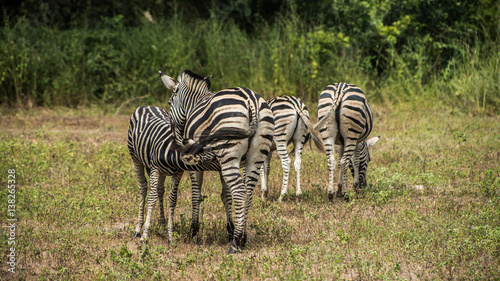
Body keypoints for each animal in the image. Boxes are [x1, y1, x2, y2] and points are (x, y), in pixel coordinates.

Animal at [126, 105, 235, 243]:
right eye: (214, 158)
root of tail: (146, 106)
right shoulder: (155, 169)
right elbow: (152, 198)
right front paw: (145, 236)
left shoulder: (178, 172)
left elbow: (172, 199)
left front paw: (170, 236)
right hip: (136, 159)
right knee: (143, 188)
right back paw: (137, 229)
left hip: (158, 171)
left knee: (160, 190)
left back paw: (162, 227)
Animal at [159, 69, 274, 252]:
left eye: (170, 102)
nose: (178, 138)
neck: (194, 103)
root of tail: (252, 101)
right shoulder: (221, 166)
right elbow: (226, 196)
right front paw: (230, 229)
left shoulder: (195, 166)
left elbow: (196, 195)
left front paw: (193, 231)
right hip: (255, 156)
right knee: (247, 194)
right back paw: (243, 237)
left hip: (229, 152)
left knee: (240, 192)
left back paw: (236, 243)